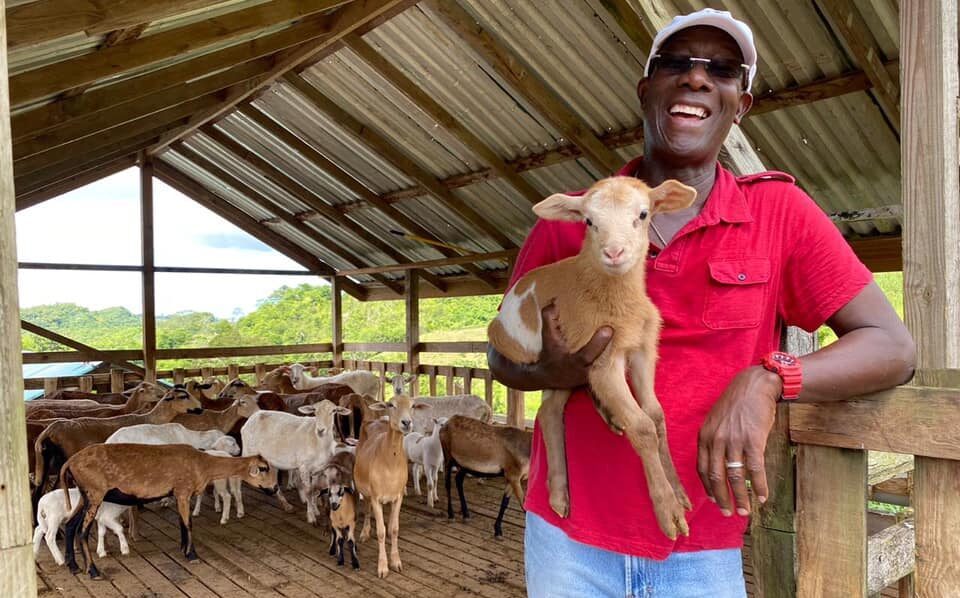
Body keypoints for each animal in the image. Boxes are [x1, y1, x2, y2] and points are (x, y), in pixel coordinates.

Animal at [352, 396, 428, 580]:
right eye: (390, 404)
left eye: (413, 405)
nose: (406, 422)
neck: (390, 462)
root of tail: (375, 420)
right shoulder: (376, 496)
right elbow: (381, 531)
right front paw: (382, 567)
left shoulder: (398, 497)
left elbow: (393, 529)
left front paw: (396, 562)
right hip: (363, 487)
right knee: (366, 508)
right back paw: (364, 532)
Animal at [488, 176, 696, 540]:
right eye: (588, 221)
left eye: (643, 214)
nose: (614, 253)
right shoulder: (602, 360)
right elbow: (643, 427)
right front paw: (668, 511)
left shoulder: (642, 349)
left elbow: (656, 417)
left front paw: (678, 491)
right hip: (547, 360)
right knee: (549, 411)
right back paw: (559, 494)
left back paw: (607, 415)